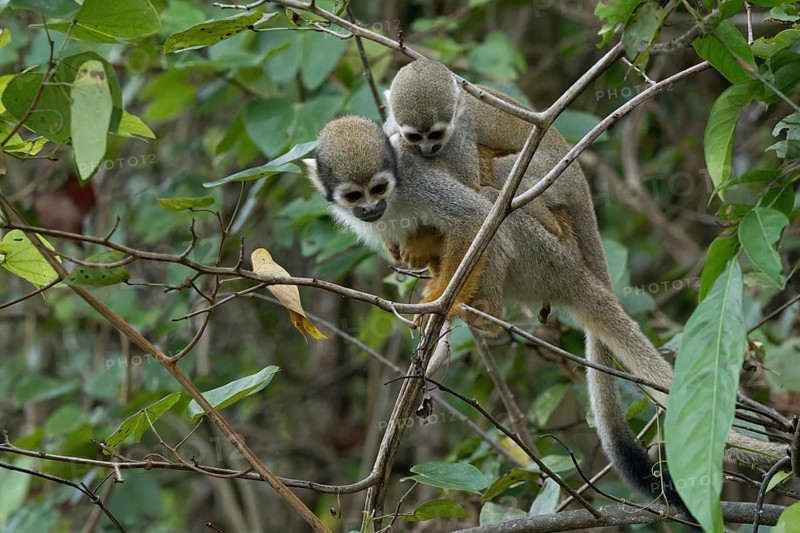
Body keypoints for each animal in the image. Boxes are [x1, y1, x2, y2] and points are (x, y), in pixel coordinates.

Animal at [304, 115, 790, 514]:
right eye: (354, 195)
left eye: (379, 189)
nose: (370, 208)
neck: (395, 201)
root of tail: (573, 267)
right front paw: (419, 267)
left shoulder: (417, 181)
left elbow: (472, 216)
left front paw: (439, 300)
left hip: (543, 257)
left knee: (494, 209)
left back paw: (482, 312)